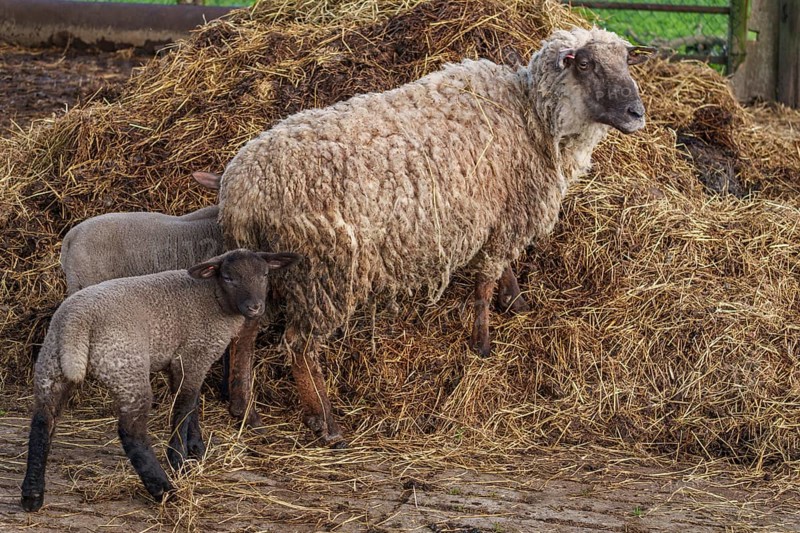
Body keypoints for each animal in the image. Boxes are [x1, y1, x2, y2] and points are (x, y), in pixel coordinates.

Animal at [20, 249, 301, 512]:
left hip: (51, 367)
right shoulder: (195, 354)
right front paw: (179, 459)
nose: (255, 307)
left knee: (43, 422)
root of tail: (76, 322)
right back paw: (164, 489)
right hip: (126, 368)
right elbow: (184, 407)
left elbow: (191, 404)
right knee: (131, 433)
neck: (213, 297)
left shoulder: (179, 361)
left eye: (265, 274)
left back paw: (32, 495)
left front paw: (196, 448)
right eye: (228, 277)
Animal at [216, 27, 654, 445]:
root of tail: (241, 194)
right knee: (300, 347)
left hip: (263, 269)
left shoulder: (502, 214)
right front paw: (483, 343)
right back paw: (326, 422)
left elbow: (501, 268)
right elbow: (486, 280)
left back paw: (244, 409)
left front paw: (516, 303)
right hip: (324, 273)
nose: (637, 114)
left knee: (245, 332)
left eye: (626, 60)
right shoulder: (509, 213)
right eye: (585, 64)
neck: (530, 114)